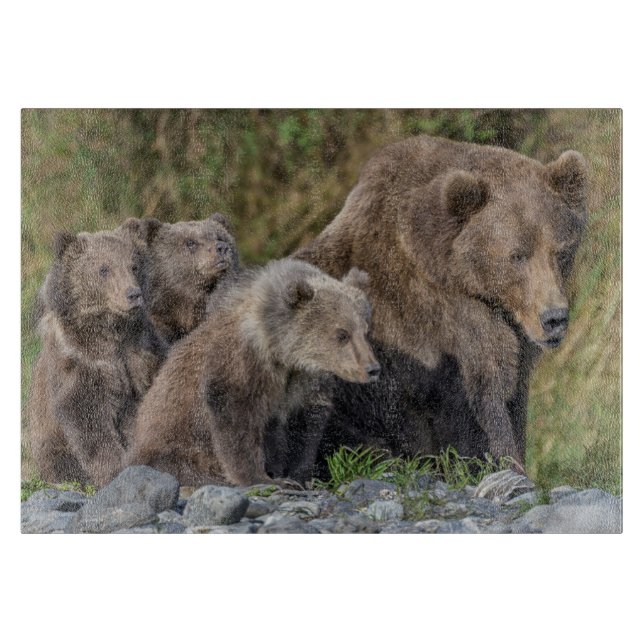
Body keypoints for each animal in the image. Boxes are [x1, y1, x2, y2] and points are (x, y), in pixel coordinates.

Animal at [27, 228, 167, 487]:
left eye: (134, 265)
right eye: (104, 269)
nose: (133, 294)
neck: (112, 332)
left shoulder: (142, 352)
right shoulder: (82, 363)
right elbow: (88, 417)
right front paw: (114, 469)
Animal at [125, 258, 380, 487]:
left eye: (365, 330)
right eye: (342, 334)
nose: (372, 368)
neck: (280, 352)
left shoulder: (303, 383)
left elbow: (304, 426)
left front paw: (299, 475)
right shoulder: (242, 364)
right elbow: (236, 417)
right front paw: (261, 478)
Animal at [294, 135, 588, 473]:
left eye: (561, 251)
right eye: (516, 255)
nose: (554, 318)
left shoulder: (513, 333)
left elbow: (514, 398)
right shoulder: (444, 327)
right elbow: (483, 406)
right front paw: (507, 464)